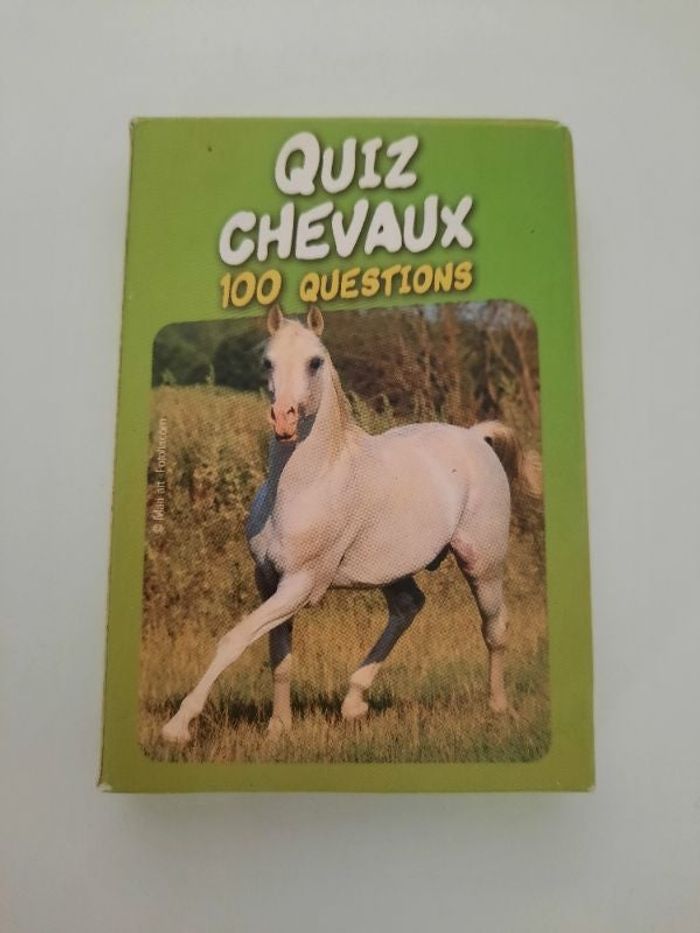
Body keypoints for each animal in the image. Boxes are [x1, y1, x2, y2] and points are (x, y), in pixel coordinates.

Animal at [162, 304, 541, 744]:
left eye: (315, 362)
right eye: (267, 361)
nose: (284, 421)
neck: (302, 486)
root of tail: (475, 437)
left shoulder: (301, 583)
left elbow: (234, 640)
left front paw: (177, 726)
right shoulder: (269, 580)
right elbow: (280, 657)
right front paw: (279, 728)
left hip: (482, 563)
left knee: (494, 627)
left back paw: (498, 708)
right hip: (394, 570)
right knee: (408, 607)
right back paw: (354, 702)